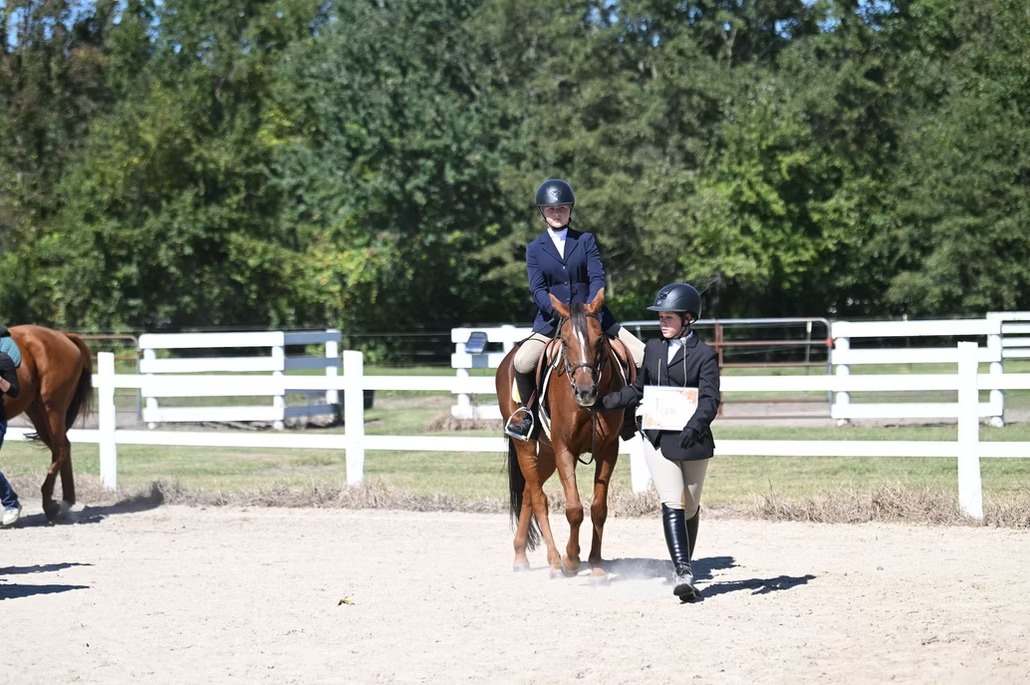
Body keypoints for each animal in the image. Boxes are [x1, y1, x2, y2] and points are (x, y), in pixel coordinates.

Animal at [4, 325, 94, 521]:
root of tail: (63, 336)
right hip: (37, 411)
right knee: (62, 447)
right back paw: (65, 502)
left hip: (52, 408)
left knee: (61, 449)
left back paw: (52, 505)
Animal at [495, 288, 633, 583]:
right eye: (566, 342)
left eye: (600, 339)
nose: (585, 392)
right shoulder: (564, 449)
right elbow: (574, 508)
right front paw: (571, 560)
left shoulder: (609, 450)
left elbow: (598, 509)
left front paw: (596, 566)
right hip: (527, 445)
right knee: (538, 498)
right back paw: (554, 561)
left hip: (547, 451)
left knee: (528, 493)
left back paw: (521, 555)